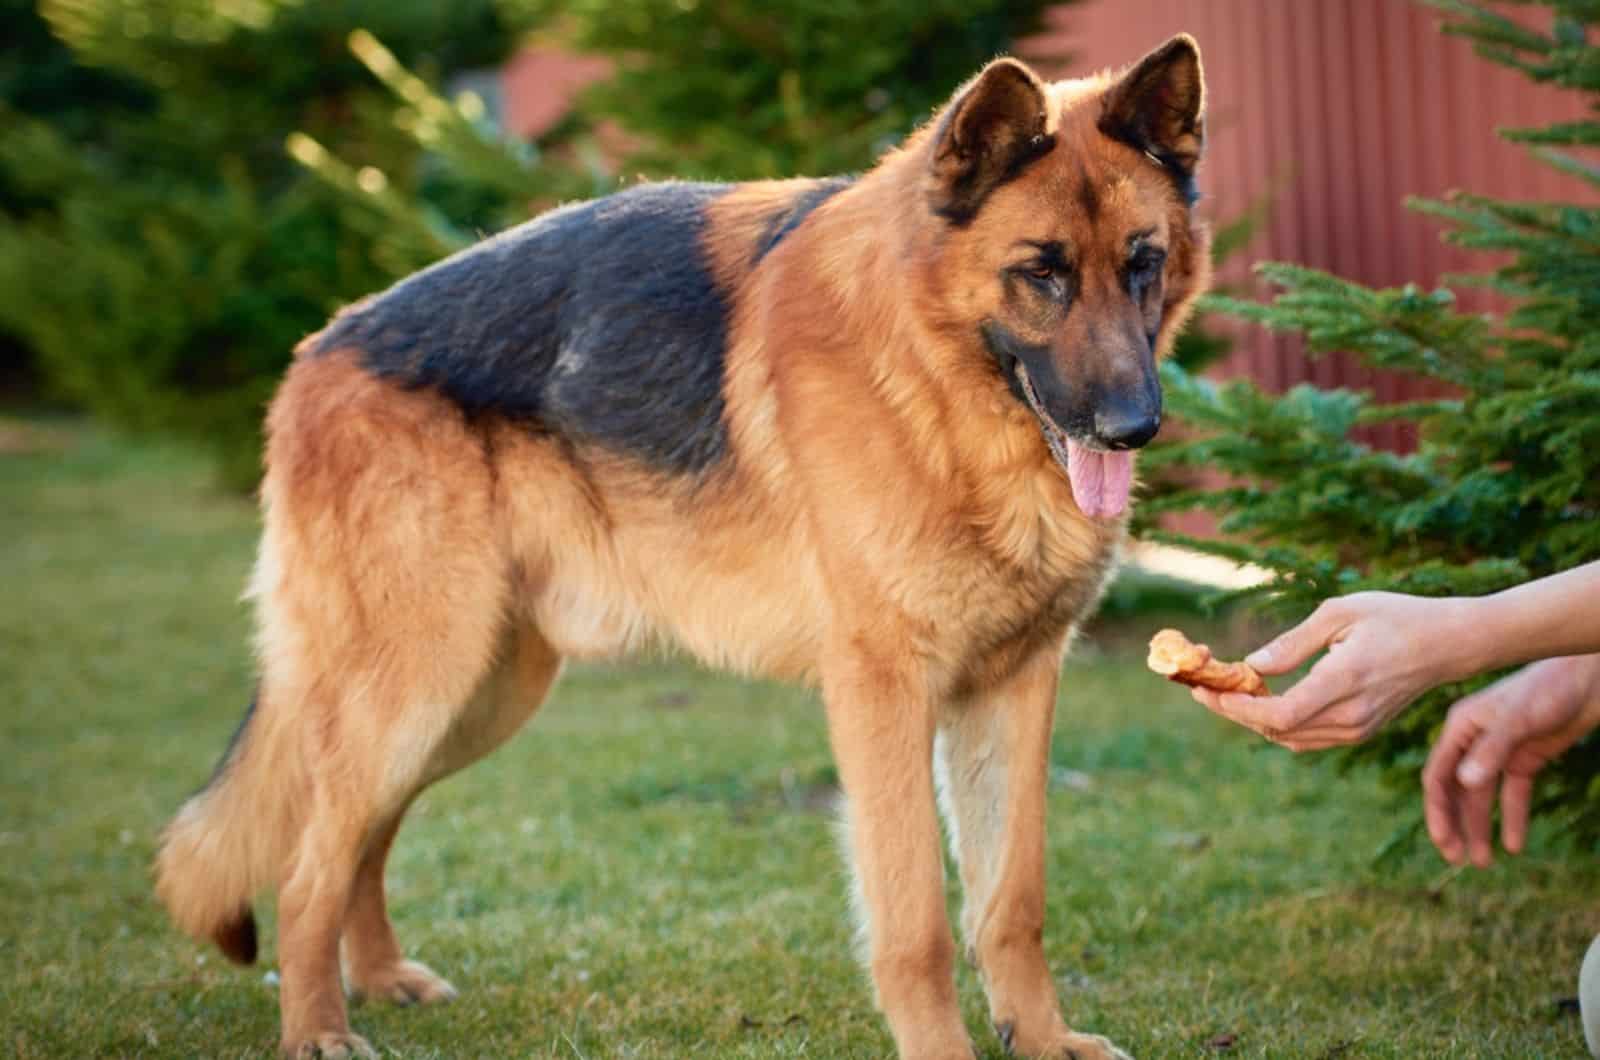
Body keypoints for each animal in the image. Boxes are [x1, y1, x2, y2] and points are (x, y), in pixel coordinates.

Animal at [159, 33, 1209, 1060]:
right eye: (1043, 272)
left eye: (1143, 263)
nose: (1134, 429)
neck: (928, 375)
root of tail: (317, 351)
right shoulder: (885, 696)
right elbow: (916, 922)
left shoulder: (1014, 688)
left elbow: (1012, 901)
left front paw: (1042, 1037)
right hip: (416, 685)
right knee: (307, 869)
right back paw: (319, 1028)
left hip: (475, 697)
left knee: (361, 840)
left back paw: (377, 979)